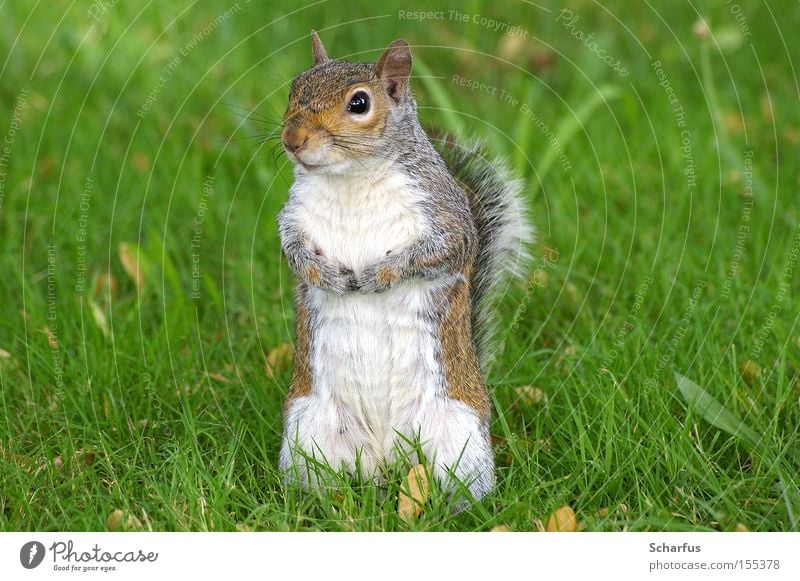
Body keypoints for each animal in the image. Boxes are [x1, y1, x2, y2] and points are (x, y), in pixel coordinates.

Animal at [278, 30, 536, 502]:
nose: (292, 139)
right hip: (310, 431)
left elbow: (447, 248)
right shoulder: (294, 219)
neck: (351, 178)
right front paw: (328, 276)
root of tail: (384, 457)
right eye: (294, 87)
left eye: (359, 103)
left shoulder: (445, 215)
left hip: (458, 435)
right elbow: (293, 252)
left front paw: (379, 275)